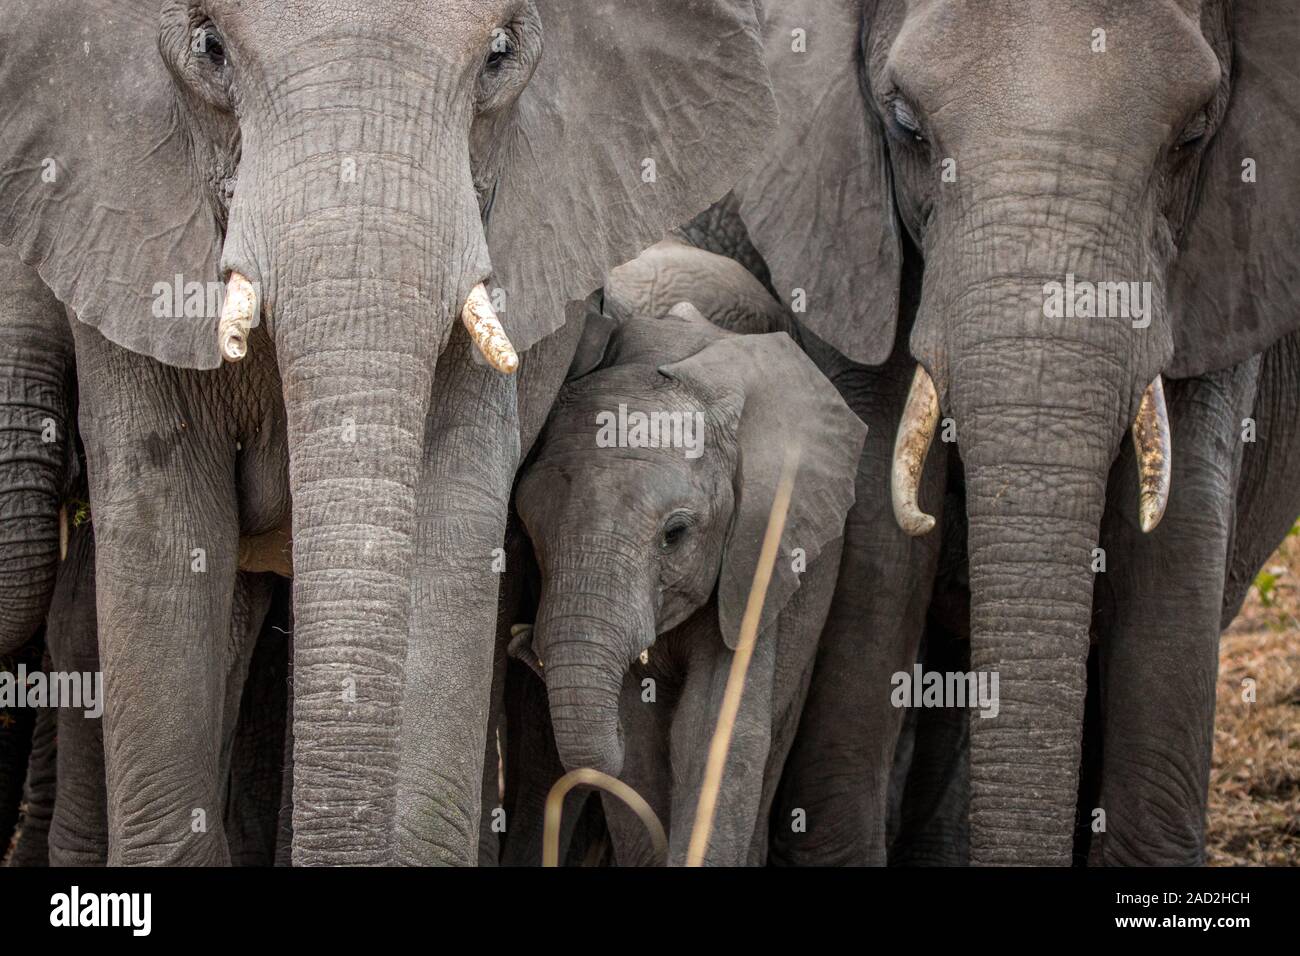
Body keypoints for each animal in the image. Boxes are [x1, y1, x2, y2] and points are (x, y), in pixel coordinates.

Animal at [512, 301, 866, 865]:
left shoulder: (756, 554)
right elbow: (642, 743)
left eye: (674, 534)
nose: (522, 642)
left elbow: (714, 731)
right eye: (526, 525)